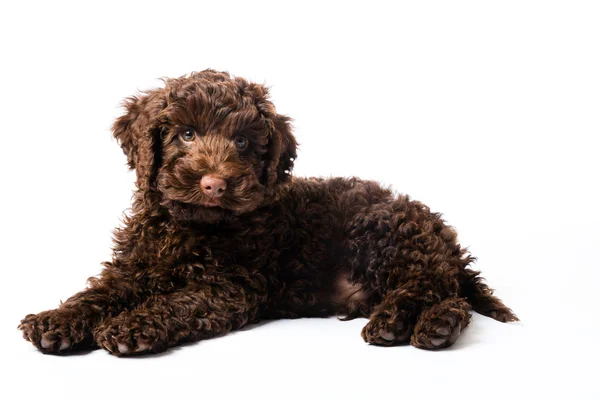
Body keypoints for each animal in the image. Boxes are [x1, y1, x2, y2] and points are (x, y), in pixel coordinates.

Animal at [18, 70, 516, 354]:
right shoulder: (133, 267)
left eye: (241, 142)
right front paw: (56, 320)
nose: (214, 184)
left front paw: (131, 324)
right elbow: (98, 292)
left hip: (381, 230)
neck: (190, 226)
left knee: (435, 289)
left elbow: (179, 301)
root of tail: (440, 232)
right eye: (186, 134)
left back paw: (416, 325)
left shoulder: (230, 287)